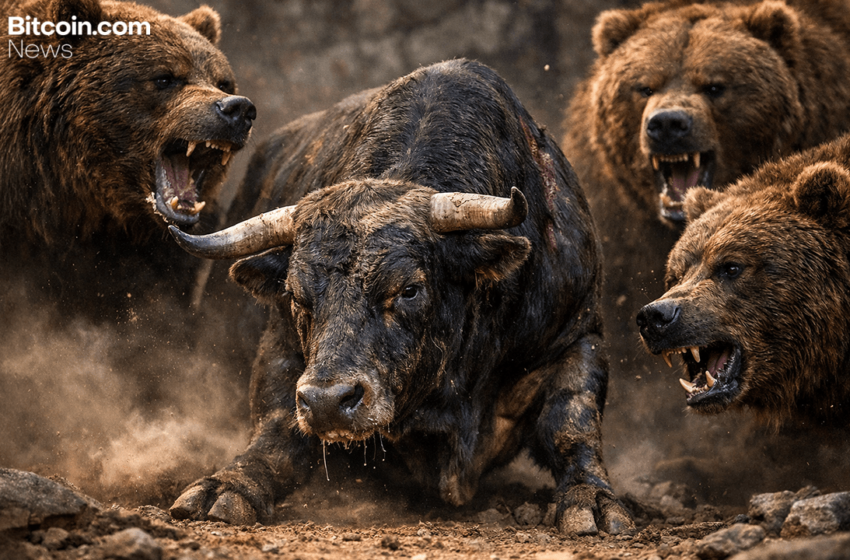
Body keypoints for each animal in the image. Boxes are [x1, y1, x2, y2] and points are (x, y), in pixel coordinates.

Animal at [167, 59, 633, 535]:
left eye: (409, 289)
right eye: (296, 295)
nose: (328, 403)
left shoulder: (576, 335)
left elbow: (571, 422)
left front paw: (590, 498)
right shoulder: (282, 347)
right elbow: (277, 429)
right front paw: (230, 486)